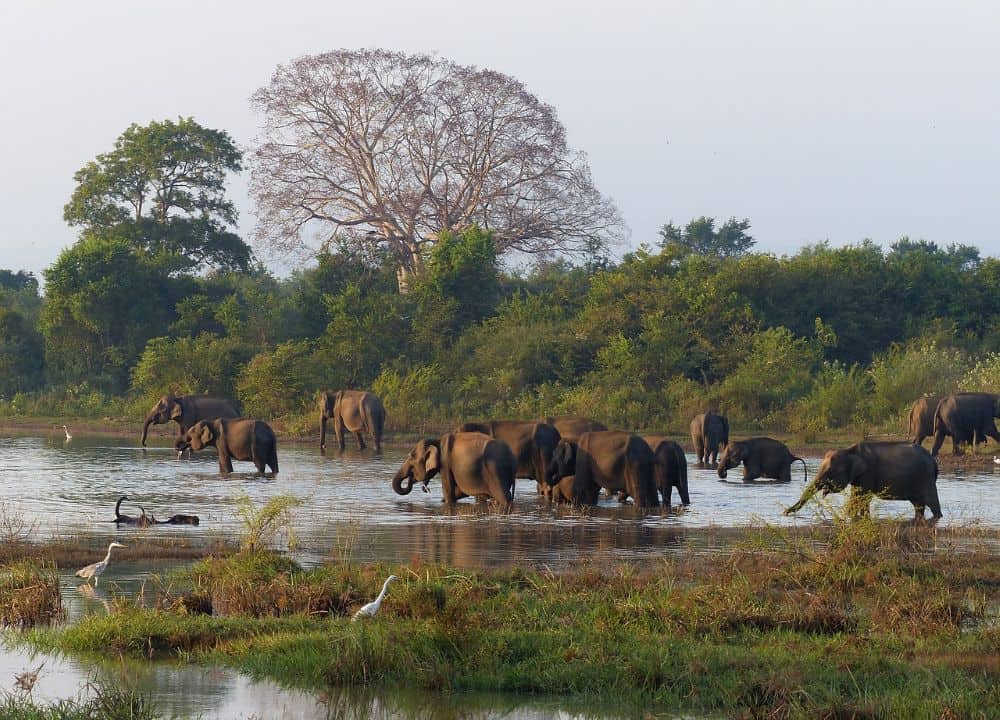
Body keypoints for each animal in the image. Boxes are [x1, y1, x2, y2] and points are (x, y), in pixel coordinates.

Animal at [784, 441, 941, 520]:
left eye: (832, 472)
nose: (785, 512)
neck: (849, 451)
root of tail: (934, 461)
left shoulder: (868, 473)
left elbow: (862, 497)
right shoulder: (859, 476)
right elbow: (856, 496)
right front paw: (851, 517)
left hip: (925, 478)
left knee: (931, 501)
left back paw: (938, 517)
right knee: (918, 505)